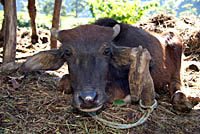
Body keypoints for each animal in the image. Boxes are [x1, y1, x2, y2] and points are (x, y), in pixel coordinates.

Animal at [21, 17, 192, 112]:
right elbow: (63, 81)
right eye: (67, 53)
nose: (88, 99)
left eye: (106, 51)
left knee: (177, 83)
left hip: (177, 49)